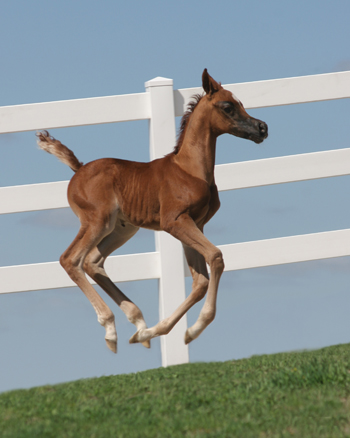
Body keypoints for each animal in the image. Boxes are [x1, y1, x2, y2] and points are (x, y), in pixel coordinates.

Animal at [37, 70, 268, 354]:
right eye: (228, 106)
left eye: (241, 102)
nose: (262, 128)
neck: (189, 170)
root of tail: (78, 169)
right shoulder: (175, 221)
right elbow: (215, 257)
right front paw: (195, 329)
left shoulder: (195, 223)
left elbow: (200, 281)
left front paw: (161, 332)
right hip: (97, 222)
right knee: (70, 259)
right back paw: (110, 328)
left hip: (122, 229)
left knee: (92, 261)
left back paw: (138, 325)